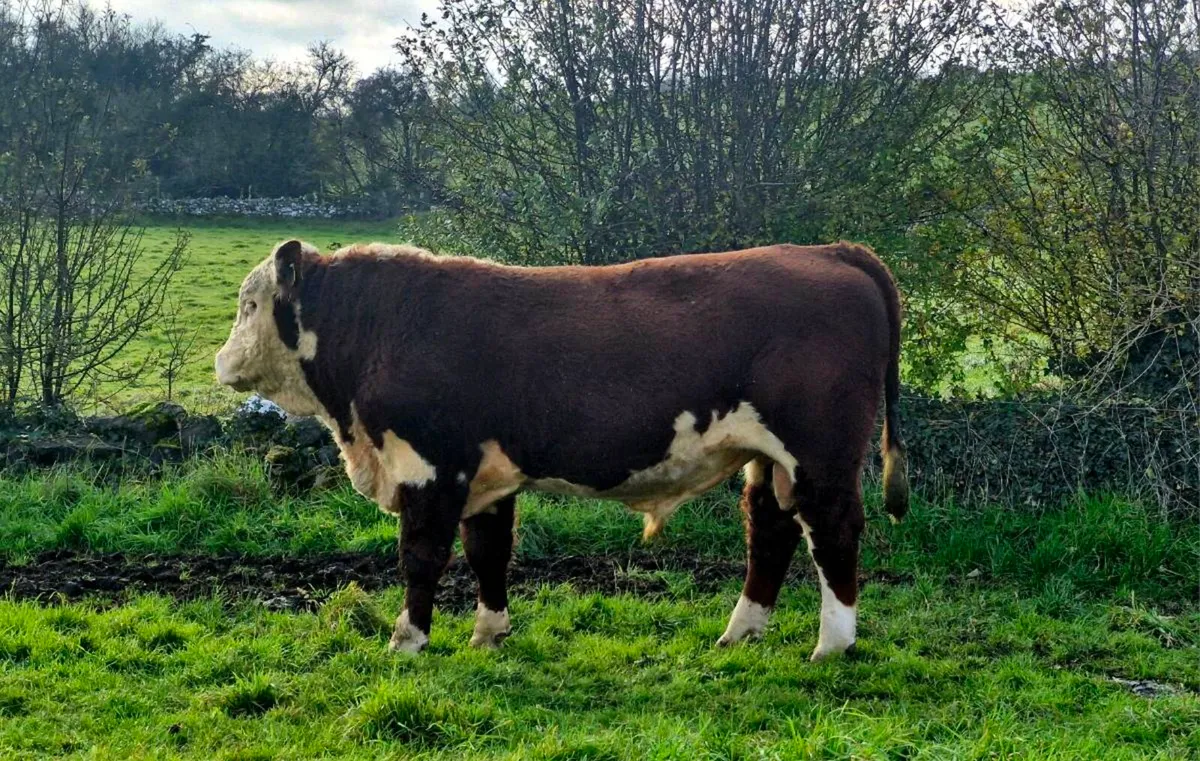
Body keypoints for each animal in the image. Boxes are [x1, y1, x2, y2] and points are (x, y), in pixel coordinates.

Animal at [215, 239, 908, 661]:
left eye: (248, 304)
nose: (220, 361)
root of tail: (826, 250)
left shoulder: (430, 467)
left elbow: (421, 558)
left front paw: (407, 641)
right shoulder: (485, 477)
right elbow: (488, 554)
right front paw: (488, 636)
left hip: (820, 454)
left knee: (833, 530)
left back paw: (833, 645)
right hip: (769, 458)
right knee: (770, 530)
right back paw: (739, 633)